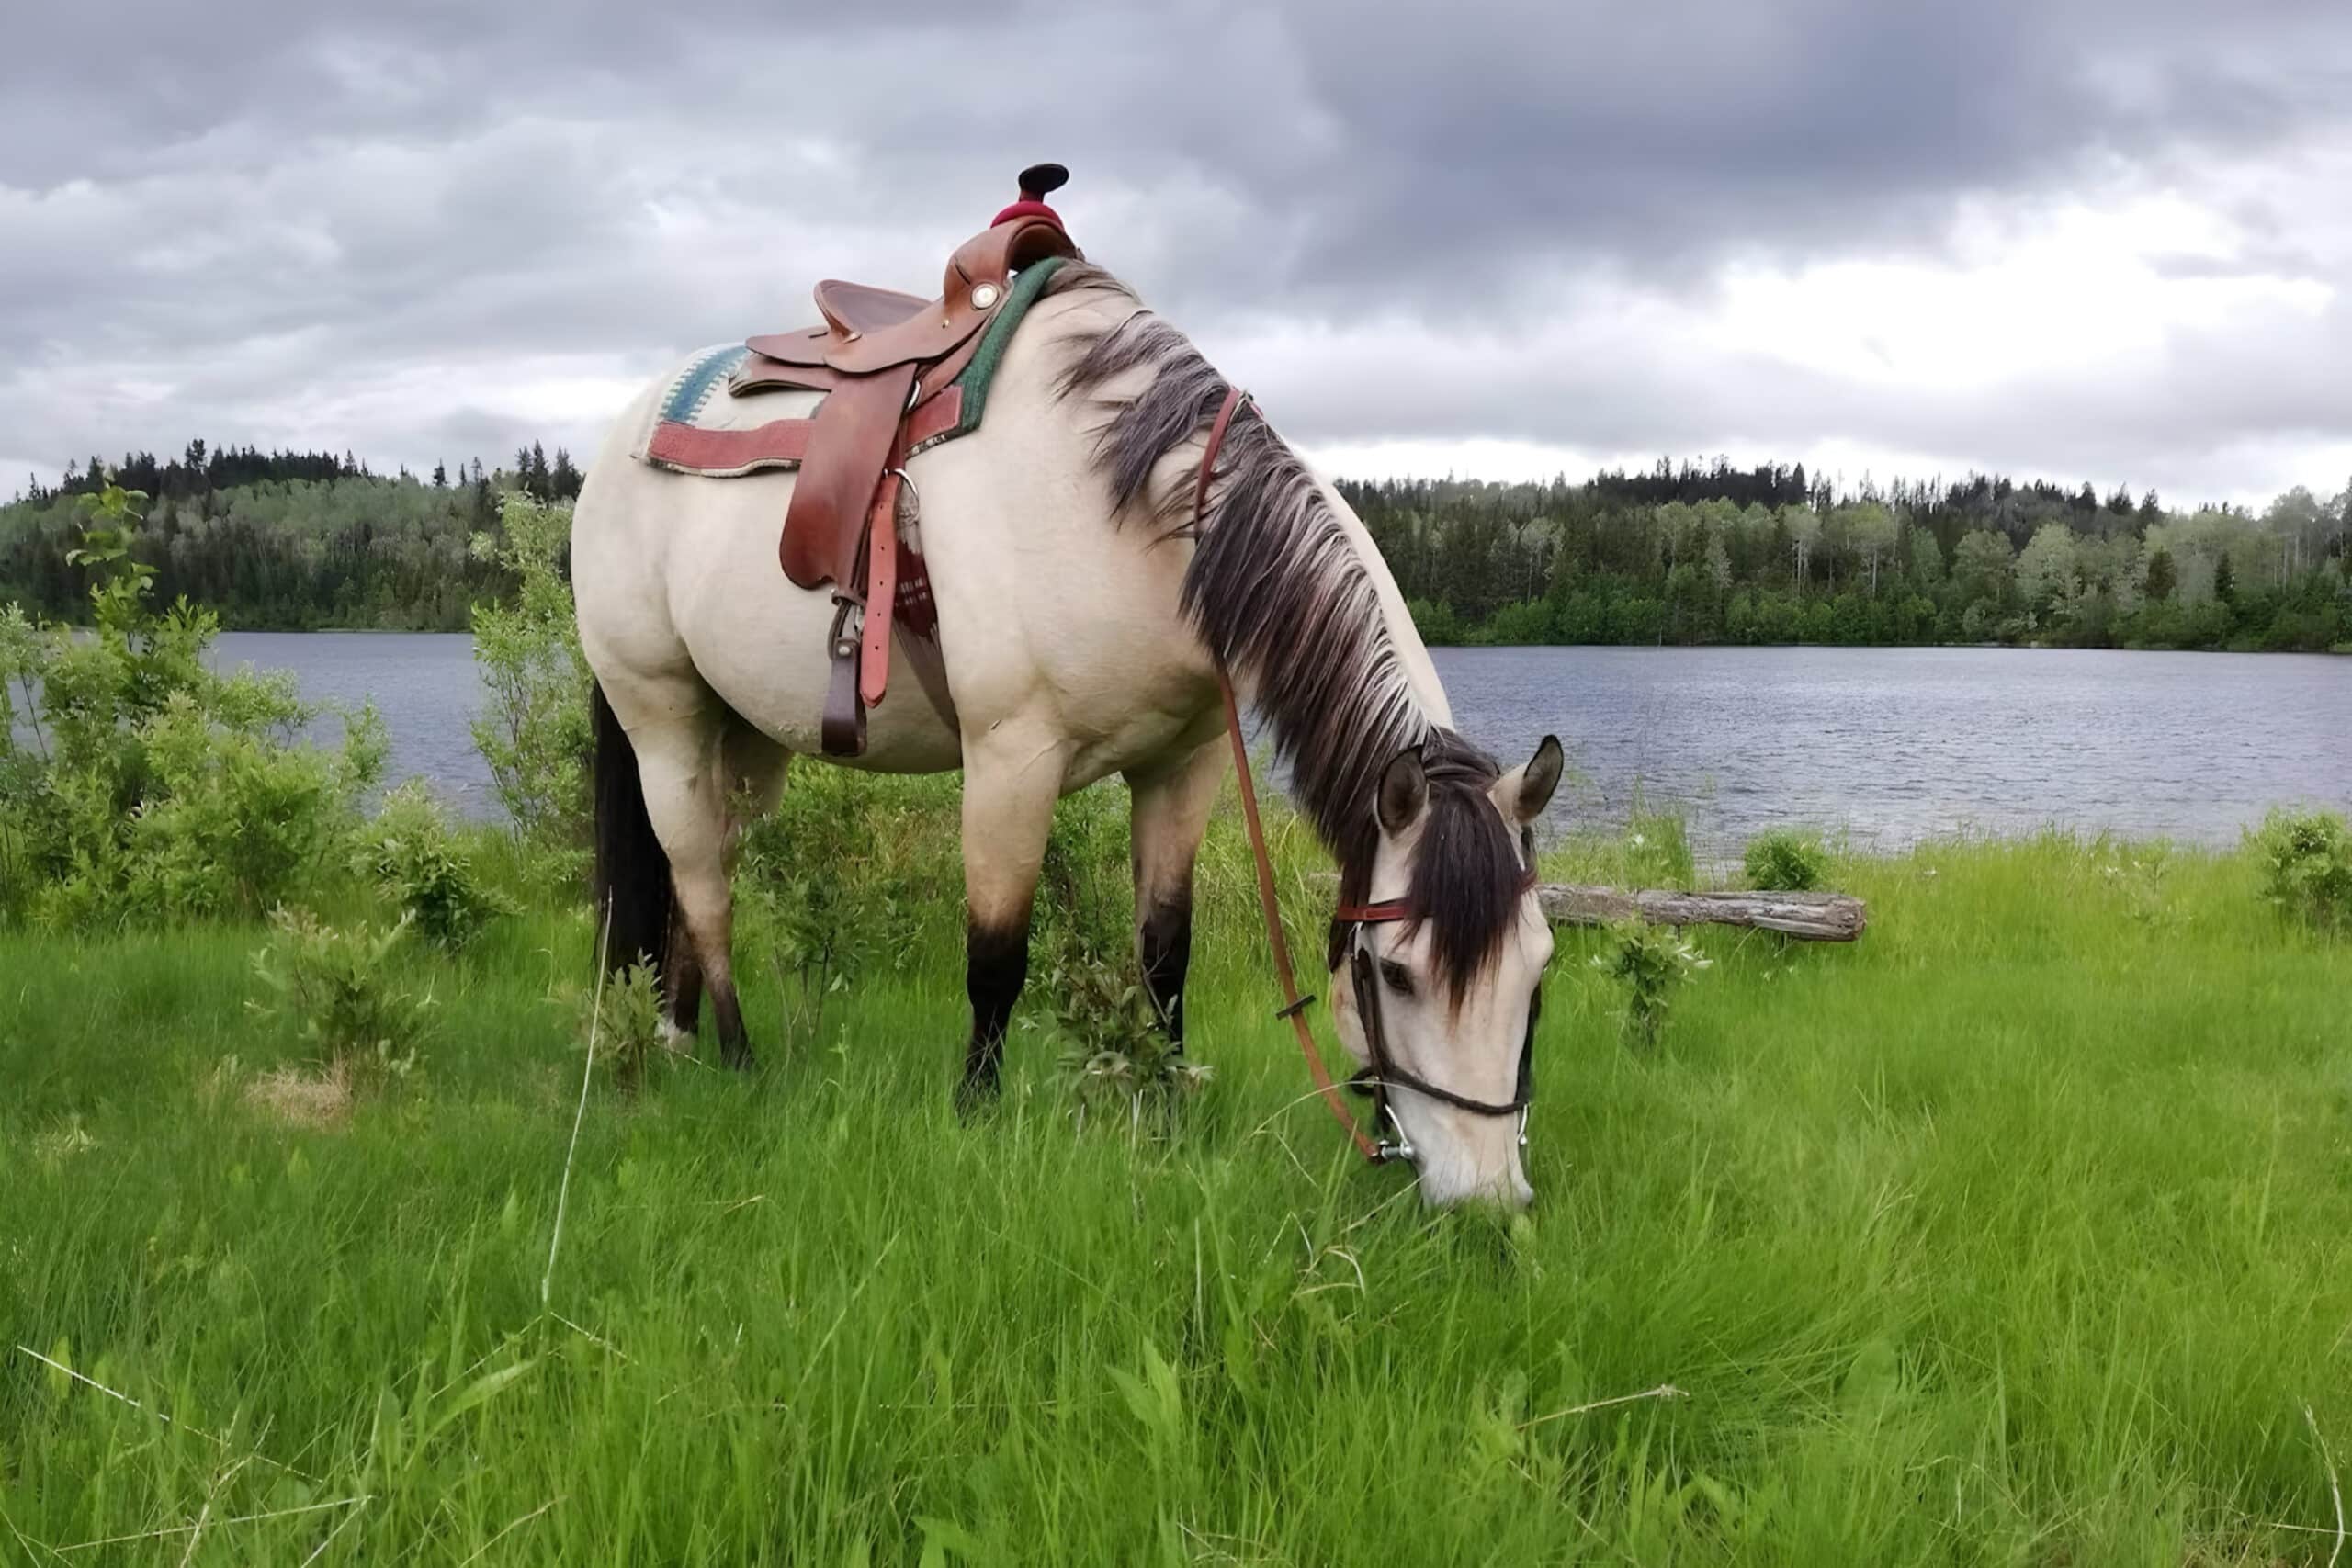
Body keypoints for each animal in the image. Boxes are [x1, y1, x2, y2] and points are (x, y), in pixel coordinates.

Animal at [573, 261, 1564, 1208]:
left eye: (1539, 971)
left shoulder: (1182, 765)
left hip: (745, 739)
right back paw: (736, 1056)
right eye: (1395, 974)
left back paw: (682, 1035)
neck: (1140, 519)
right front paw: (974, 1114)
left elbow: (1164, 954)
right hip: (662, 717)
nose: (1485, 1194)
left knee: (701, 876)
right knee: (702, 884)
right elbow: (995, 959)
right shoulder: (1011, 762)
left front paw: (1164, 1111)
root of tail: (624, 434)